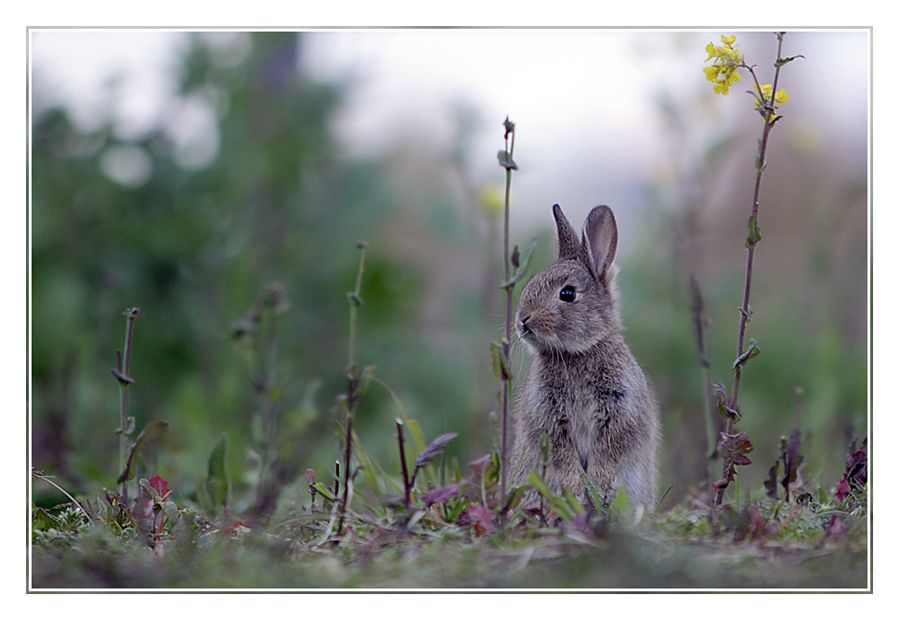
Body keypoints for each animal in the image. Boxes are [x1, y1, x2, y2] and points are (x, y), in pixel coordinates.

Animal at [512, 205, 660, 520]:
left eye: (567, 293)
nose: (523, 320)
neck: (577, 353)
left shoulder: (619, 411)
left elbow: (607, 454)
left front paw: (597, 488)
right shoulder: (550, 418)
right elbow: (562, 457)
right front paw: (576, 492)